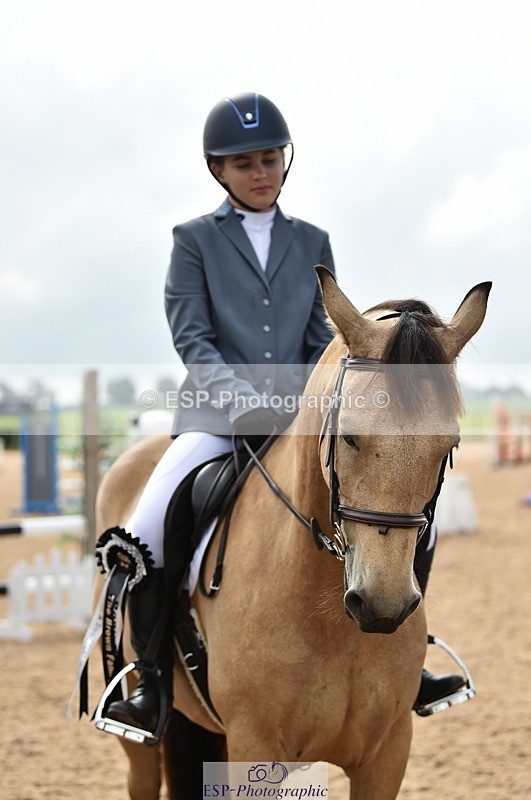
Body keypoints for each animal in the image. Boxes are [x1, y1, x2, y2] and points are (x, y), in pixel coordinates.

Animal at [94, 269, 491, 800]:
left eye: (449, 445)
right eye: (348, 436)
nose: (381, 606)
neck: (329, 621)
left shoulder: (386, 755)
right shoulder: (254, 747)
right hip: (139, 736)